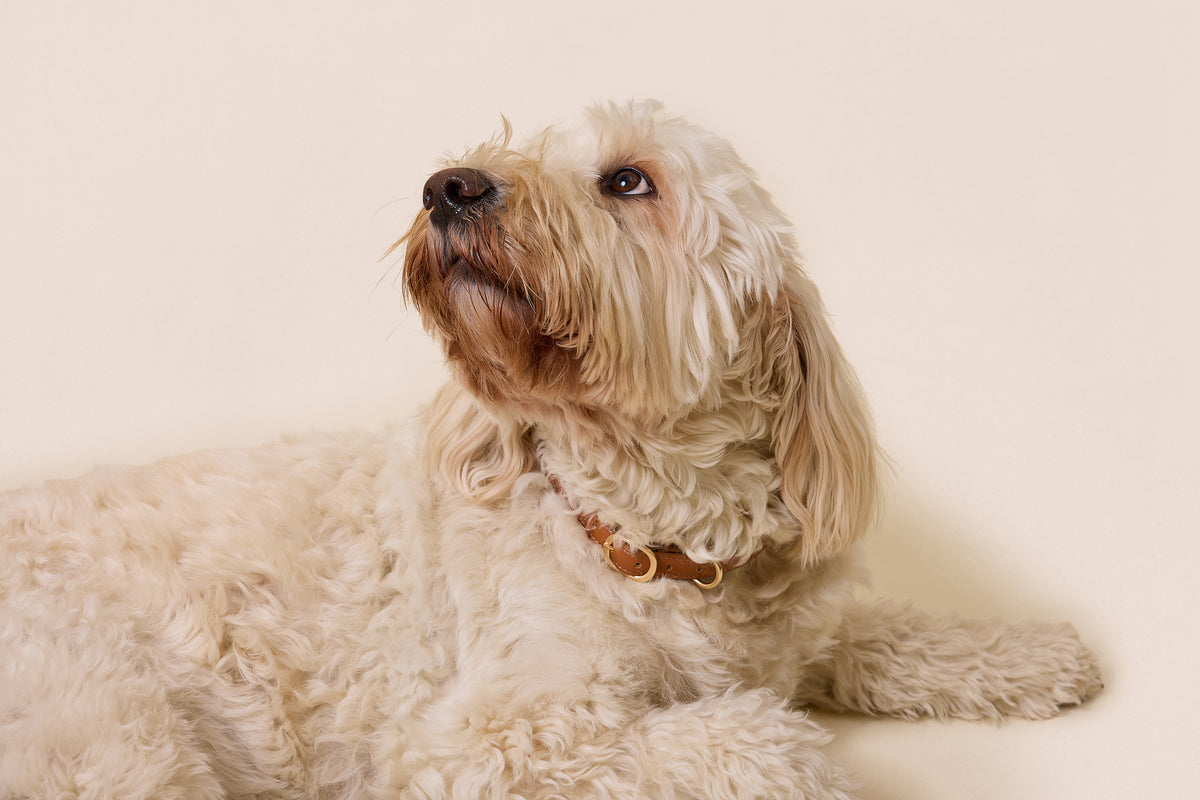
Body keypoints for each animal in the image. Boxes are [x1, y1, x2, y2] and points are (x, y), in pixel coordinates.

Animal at [2, 103, 1104, 796]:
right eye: (522, 145)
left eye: (627, 179)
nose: (449, 186)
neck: (650, 534)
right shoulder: (480, 739)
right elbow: (740, 733)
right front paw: (807, 762)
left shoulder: (802, 626)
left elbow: (886, 630)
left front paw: (1029, 651)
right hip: (114, 733)